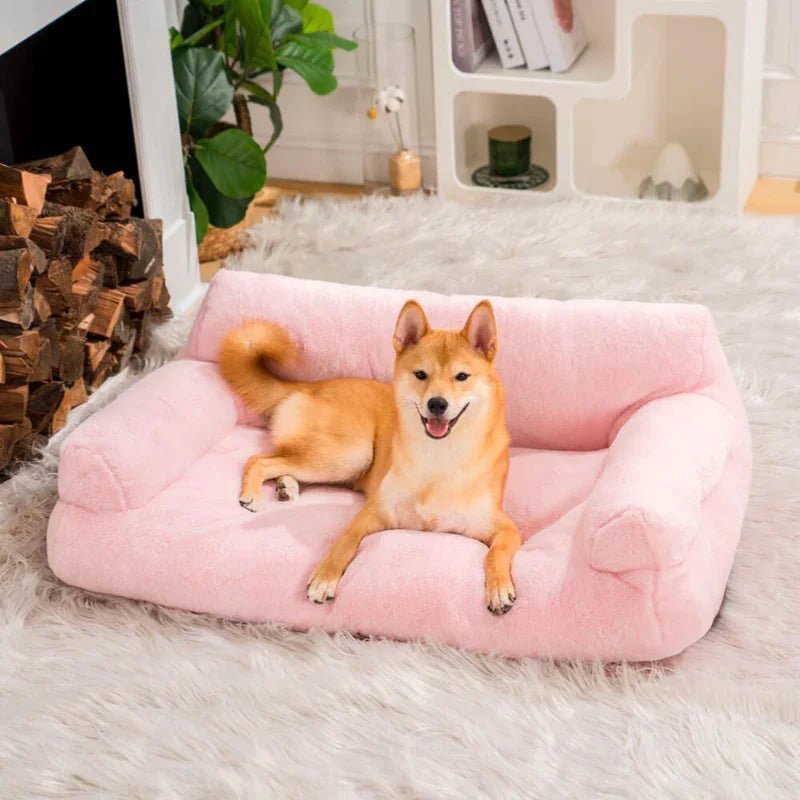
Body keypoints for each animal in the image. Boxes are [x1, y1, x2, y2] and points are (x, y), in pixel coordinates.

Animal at [219, 298, 520, 612]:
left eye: (461, 377)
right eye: (420, 375)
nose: (437, 404)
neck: (439, 457)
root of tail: (312, 385)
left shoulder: (506, 529)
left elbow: (496, 553)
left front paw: (499, 587)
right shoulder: (372, 513)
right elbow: (343, 542)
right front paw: (325, 576)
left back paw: (286, 486)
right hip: (350, 454)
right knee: (260, 460)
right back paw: (255, 492)